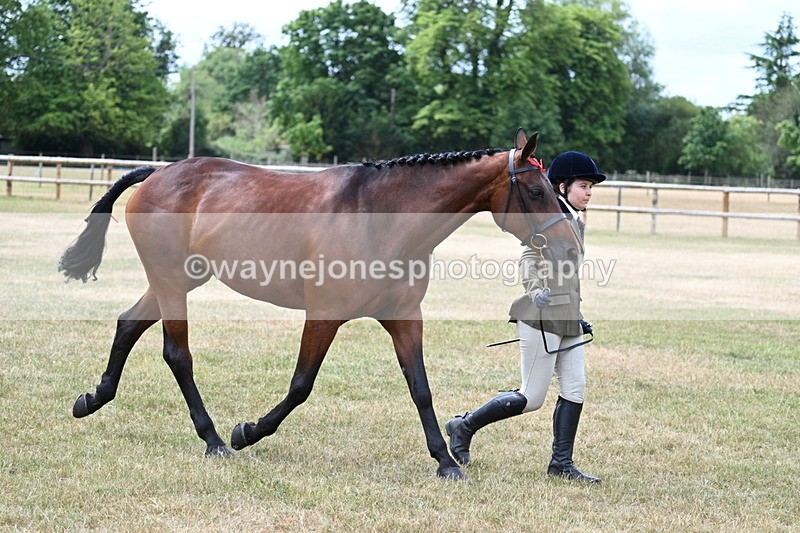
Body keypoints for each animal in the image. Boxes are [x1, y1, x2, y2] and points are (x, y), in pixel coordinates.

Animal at [58, 129, 579, 480]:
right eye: (537, 191)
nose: (571, 248)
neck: (379, 216)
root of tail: (160, 171)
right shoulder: (324, 316)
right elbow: (301, 385)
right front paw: (247, 431)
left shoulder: (404, 318)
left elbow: (420, 388)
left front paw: (445, 461)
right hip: (171, 283)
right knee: (176, 354)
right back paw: (214, 440)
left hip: (178, 280)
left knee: (128, 324)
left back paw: (92, 400)